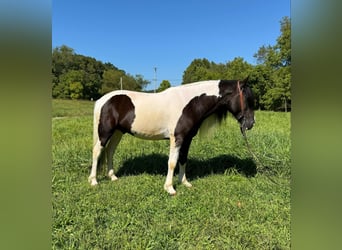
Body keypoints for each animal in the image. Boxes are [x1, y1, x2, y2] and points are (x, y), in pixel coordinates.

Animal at [88, 77, 254, 194]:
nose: (250, 124)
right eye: (246, 99)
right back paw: (94, 181)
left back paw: (112, 177)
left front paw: (184, 182)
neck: (190, 104)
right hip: (105, 132)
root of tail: (103, 100)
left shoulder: (187, 139)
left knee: (110, 151)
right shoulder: (177, 138)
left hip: (118, 132)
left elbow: (183, 160)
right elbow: (172, 162)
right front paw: (170, 188)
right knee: (97, 152)